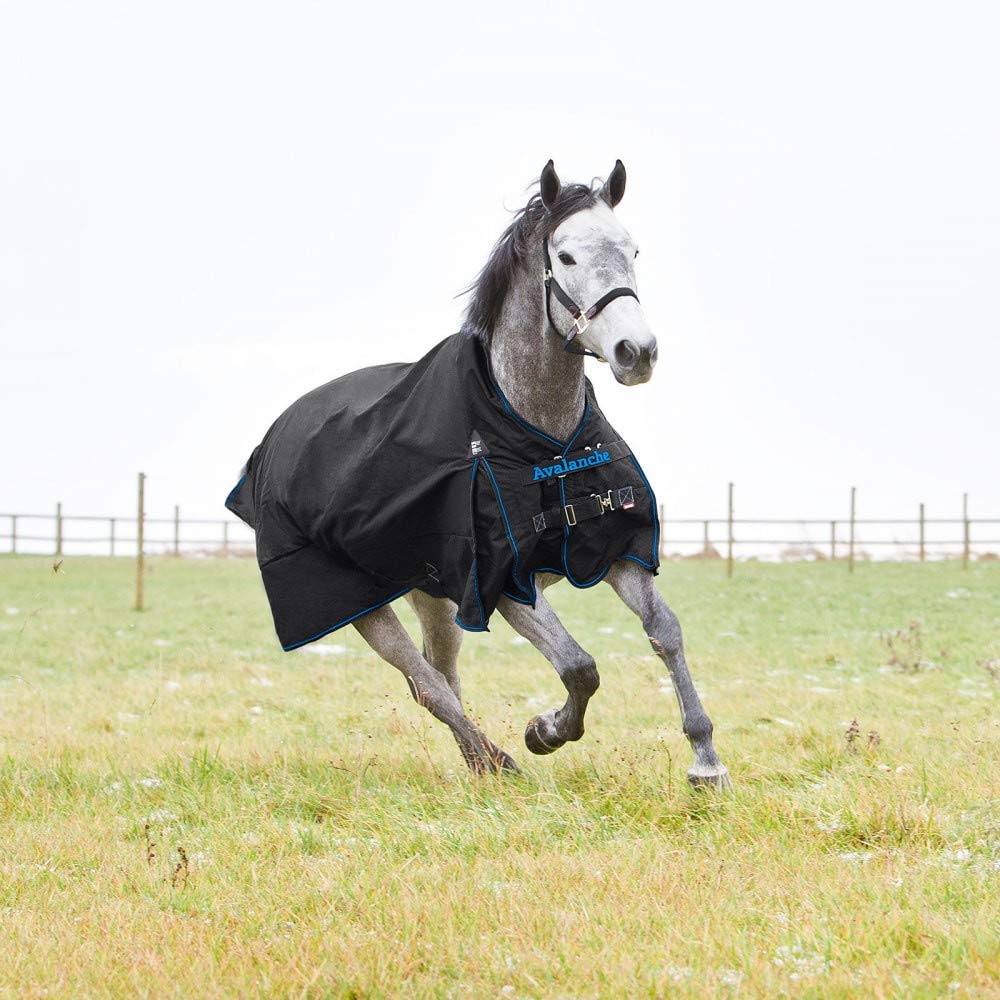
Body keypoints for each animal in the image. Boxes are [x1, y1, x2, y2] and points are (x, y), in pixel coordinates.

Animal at [227, 160, 730, 789]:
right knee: (427, 685)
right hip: (364, 606)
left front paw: (706, 760)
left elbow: (666, 630)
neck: (537, 437)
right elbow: (580, 666)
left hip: (431, 597)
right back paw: (498, 761)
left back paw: (478, 764)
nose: (635, 352)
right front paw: (545, 731)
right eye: (565, 256)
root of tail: (278, 436)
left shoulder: (612, 549)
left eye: (633, 250)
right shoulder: (504, 582)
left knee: (439, 676)